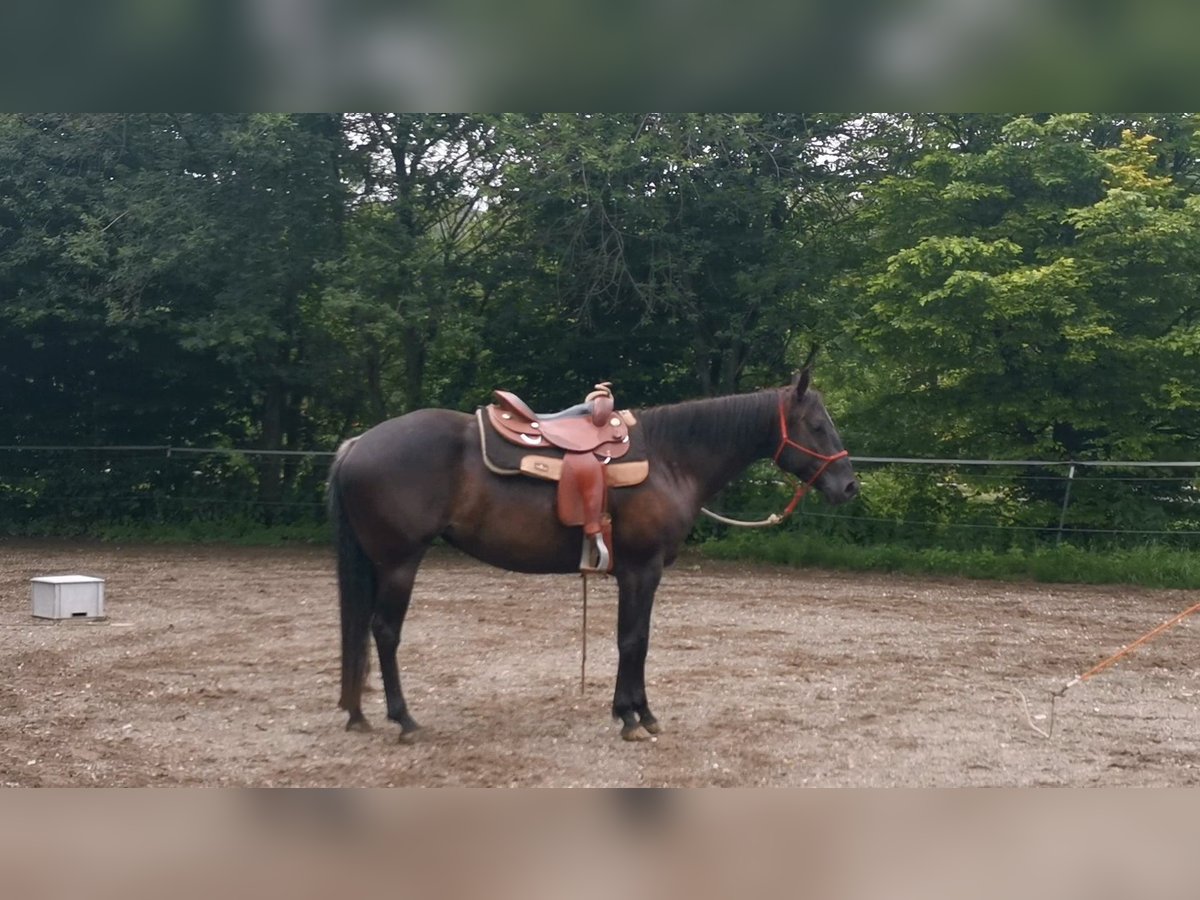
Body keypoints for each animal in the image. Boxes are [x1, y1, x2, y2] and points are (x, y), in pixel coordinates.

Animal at [324, 364, 859, 739]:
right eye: (816, 425)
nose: (849, 486)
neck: (670, 457)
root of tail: (357, 443)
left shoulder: (638, 574)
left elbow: (637, 638)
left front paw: (636, 712)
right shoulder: (641, 571)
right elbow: (633, 640)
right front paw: (634, 717)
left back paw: (357, 714)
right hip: (399, 563)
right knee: (384, 632)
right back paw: (404, 720)